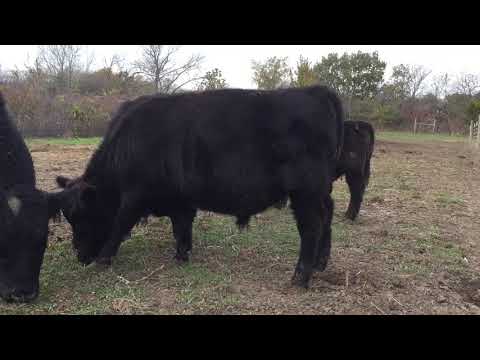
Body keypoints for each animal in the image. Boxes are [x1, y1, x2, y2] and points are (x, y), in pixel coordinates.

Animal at [50, 86, 344, 288]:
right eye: (69, 217)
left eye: (84, 216)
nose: (80, 256)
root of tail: (314, 90)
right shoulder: (180, 199)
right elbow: (181, 227)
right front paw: (182, 256)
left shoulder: (134, 196)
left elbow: (120, 225)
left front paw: (103, 260)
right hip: (320, 191)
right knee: (327, 217)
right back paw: (320, 264)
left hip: (305, 192)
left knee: (312, 227)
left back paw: (300, 277)